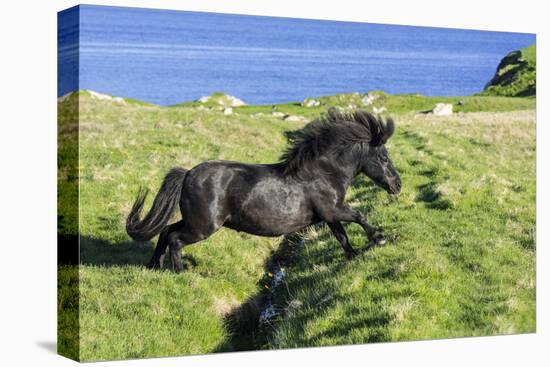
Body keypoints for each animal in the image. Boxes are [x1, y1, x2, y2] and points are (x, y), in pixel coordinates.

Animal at [127, 108, 404, 270]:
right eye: (384, 157)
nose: (397, 185)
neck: (323, 173)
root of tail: (187, 174)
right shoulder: (332, 209)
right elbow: (358, 216)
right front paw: (379, 238)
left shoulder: (327, 216)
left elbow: (342, 236)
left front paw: (353, 255)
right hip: (203, 226)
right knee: (175, 239)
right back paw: (180, 272)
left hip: (193, 221)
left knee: (166, 231)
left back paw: (154, 265)